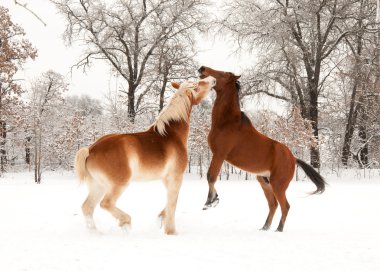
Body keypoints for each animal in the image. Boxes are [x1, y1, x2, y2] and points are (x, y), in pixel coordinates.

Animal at [75, 75, 217, 235]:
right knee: (105, 203)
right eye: (199, 84)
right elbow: (173, 203)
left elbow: (169, 202)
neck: (171, 135)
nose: (212, 79)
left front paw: (161, 219)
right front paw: (171, 231)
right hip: (118, 184)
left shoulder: (166, 179)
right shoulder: (176, 177)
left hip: (98, 186)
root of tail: (91, 149)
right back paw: (125, 222)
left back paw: (96, 233)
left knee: (87, 207)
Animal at [197, 67, 326, 233]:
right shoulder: (217, 155)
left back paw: (278, 229)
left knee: (285, 206)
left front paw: (210, 202)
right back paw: (265, 227)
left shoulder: (219, 154)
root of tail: (293, 158)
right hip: (265, 182)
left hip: (278, 185)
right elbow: (211, 176)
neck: (227, 123)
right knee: (273, 204)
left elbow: (211, 176)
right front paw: (214, 199)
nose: (202, 68)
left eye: (224, 74)